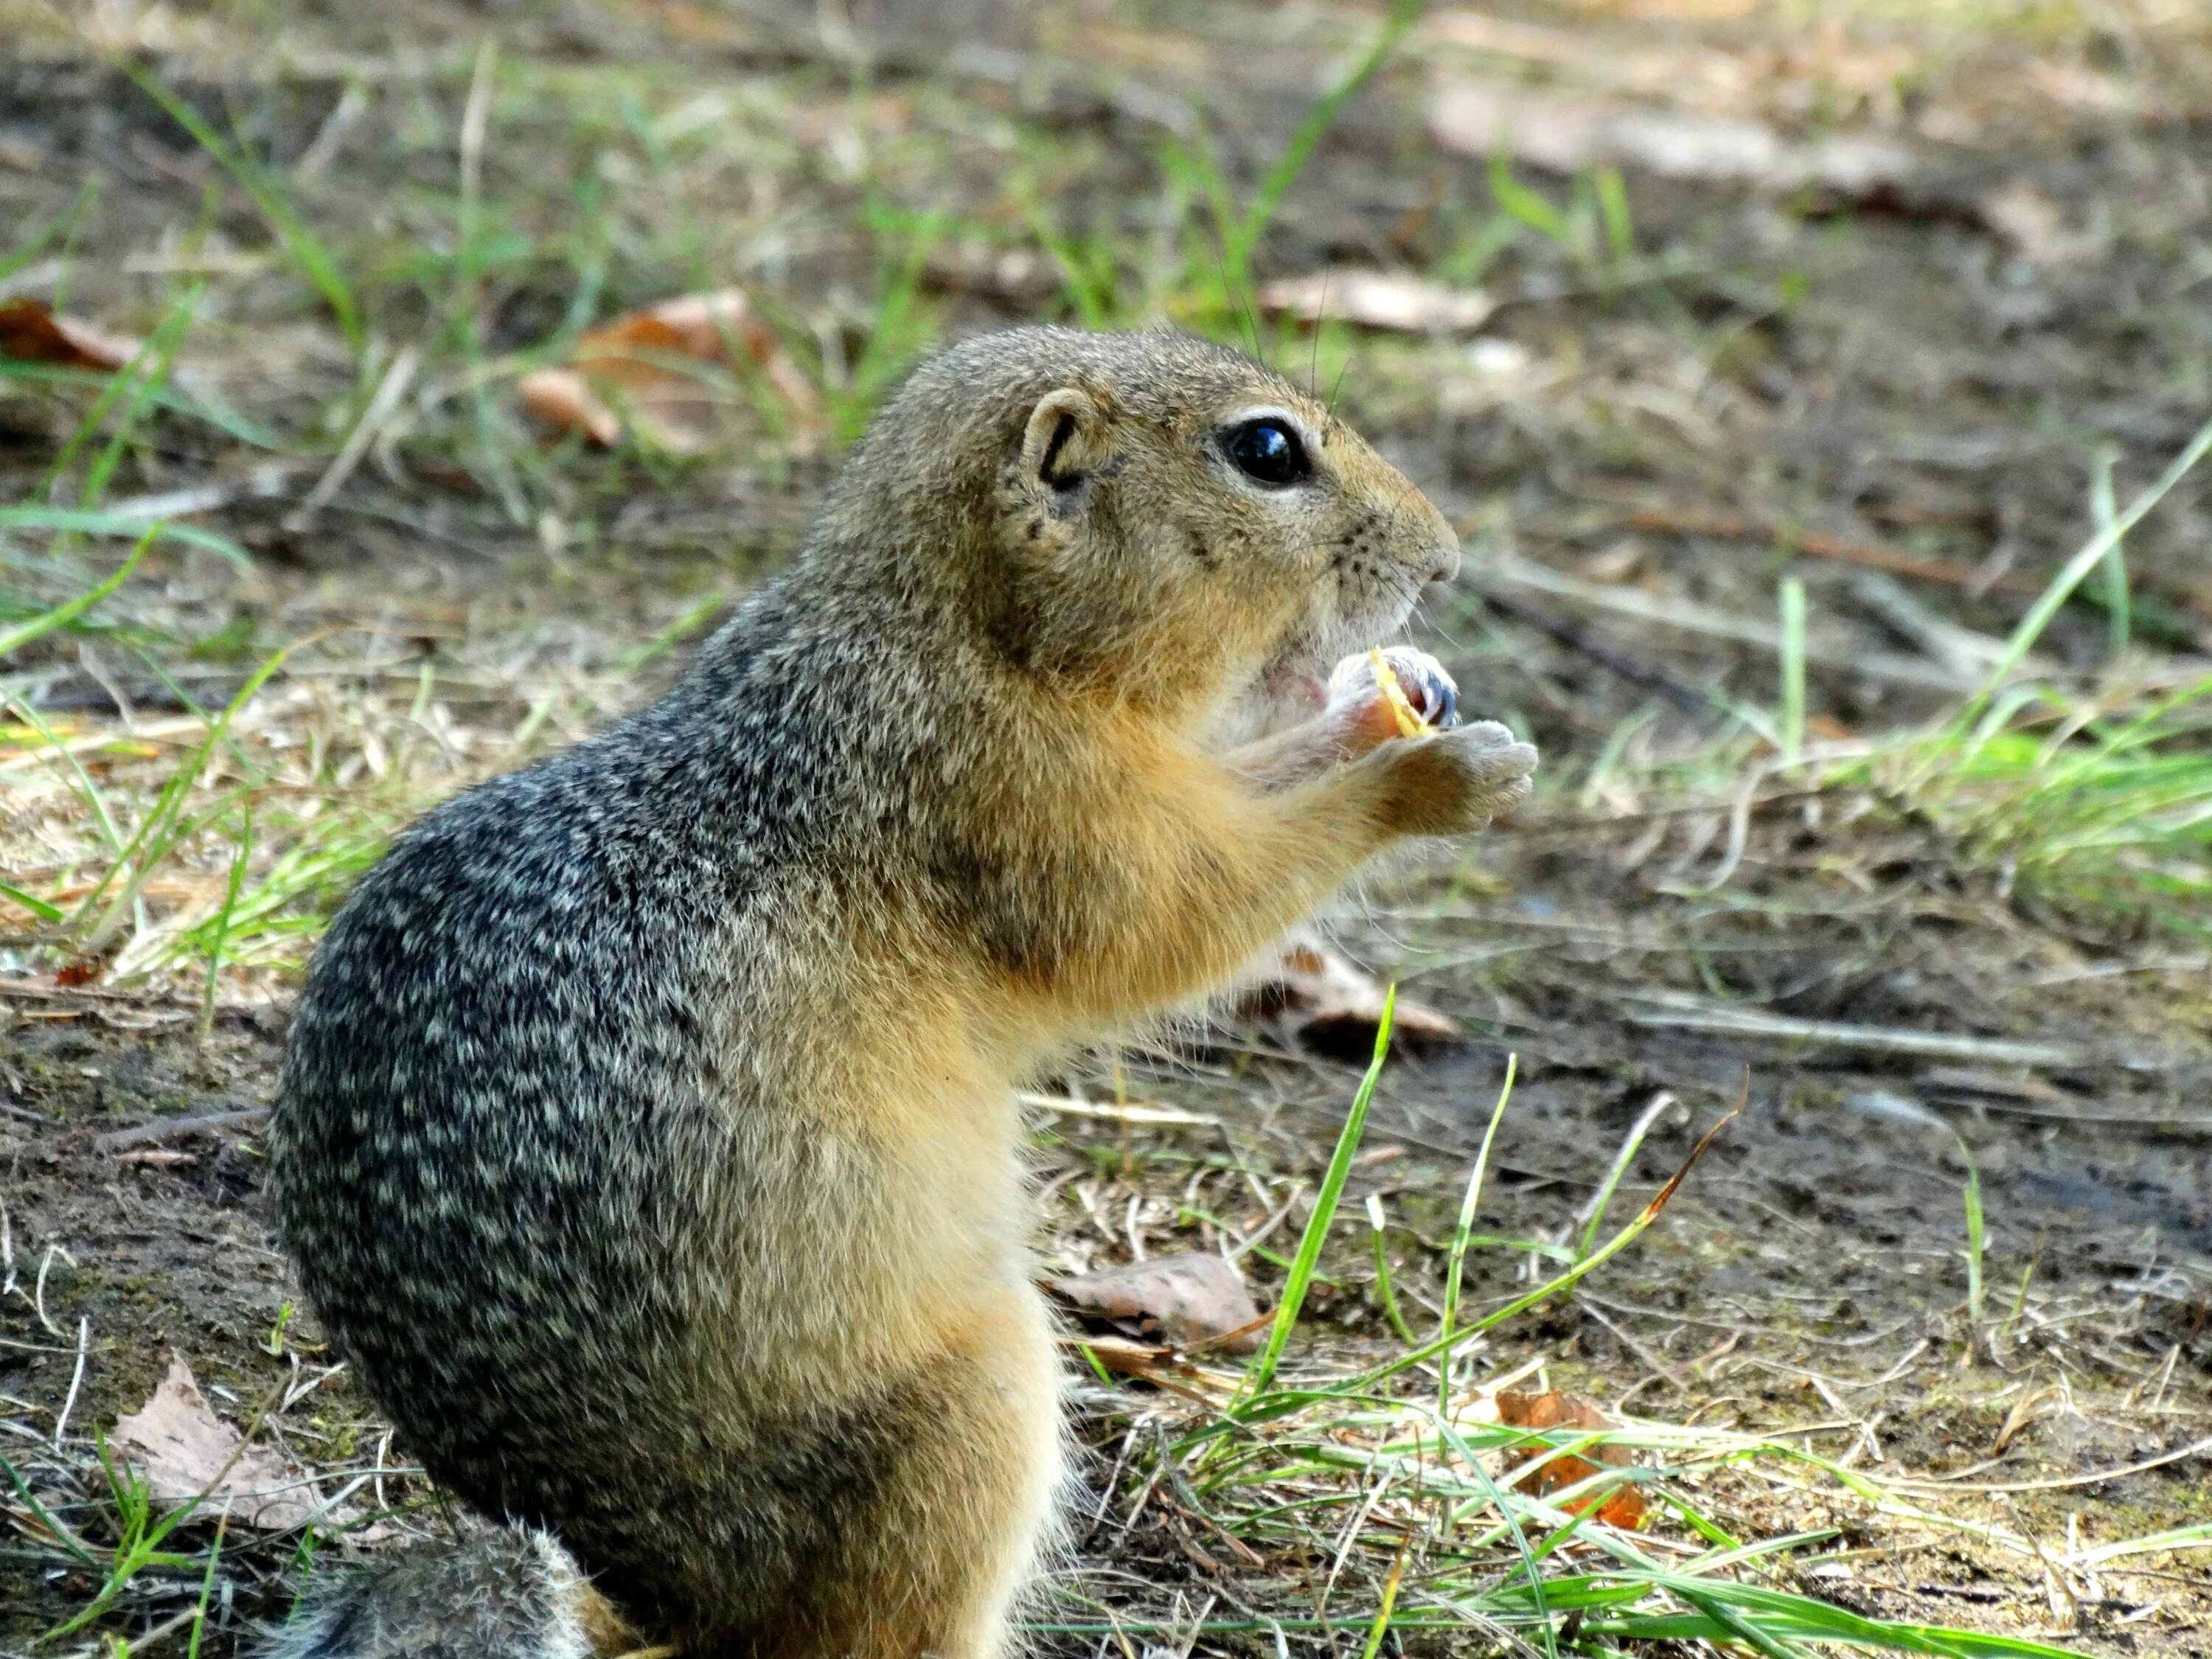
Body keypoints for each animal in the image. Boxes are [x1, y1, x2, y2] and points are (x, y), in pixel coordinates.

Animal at [263, 327, 1540, 1659]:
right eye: (1268, 451)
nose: (1445, 556)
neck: (953, 636)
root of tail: (664, 1605)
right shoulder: (1024, 807)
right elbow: (1185, 914)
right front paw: (1431, 777)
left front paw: (1393, 699)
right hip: (976, 1406)